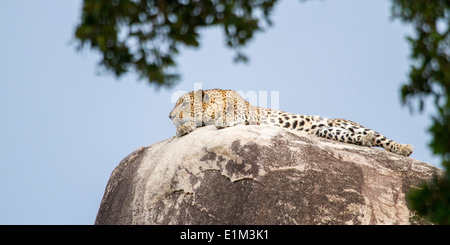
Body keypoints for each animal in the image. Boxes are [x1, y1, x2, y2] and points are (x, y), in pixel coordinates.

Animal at [170, 89, 414, 156]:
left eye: (182, 102)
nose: (169, 116)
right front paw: (184, 128)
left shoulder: (249, 113)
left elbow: (233, 114)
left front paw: (223, 119)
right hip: (327, 131)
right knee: (354, 137)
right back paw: (365, 140)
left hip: (349, 124)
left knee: (382, 138)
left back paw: (403, 148)